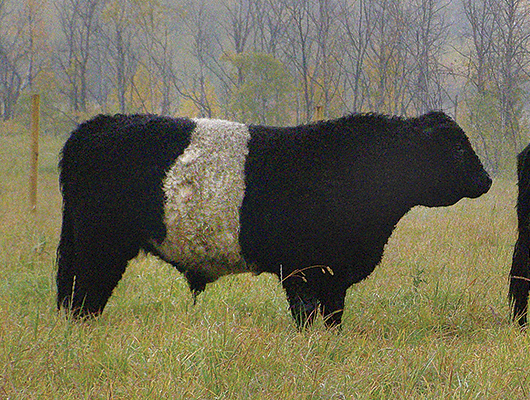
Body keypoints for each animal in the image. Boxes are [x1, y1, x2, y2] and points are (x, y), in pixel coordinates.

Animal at [55, 111, 488, 328]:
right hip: (98, 246)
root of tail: (93, 126)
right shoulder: (301, 271)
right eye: (456, 147)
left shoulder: (334, 273)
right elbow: (307, 315)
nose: (486, 179)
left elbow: (333, 317)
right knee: (82, 294)